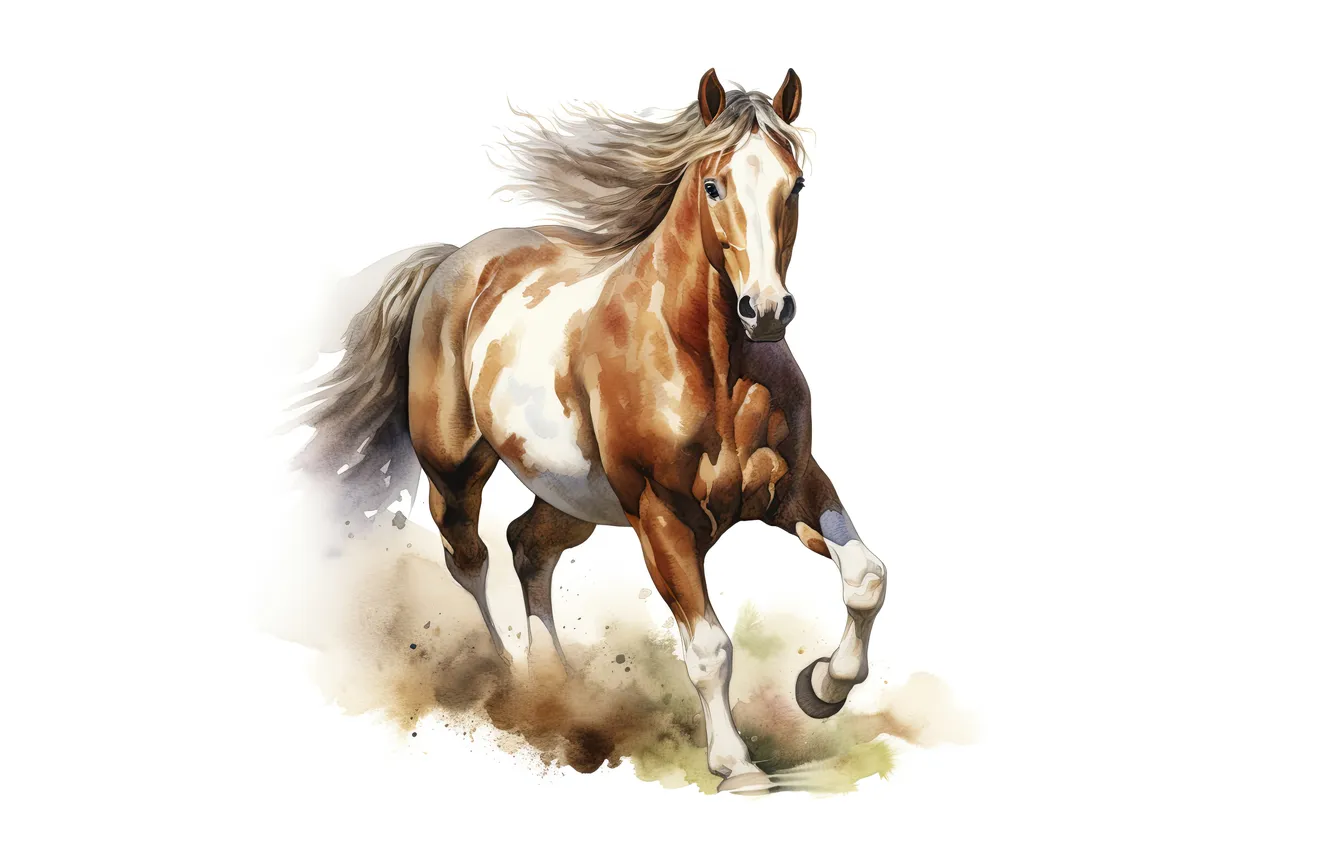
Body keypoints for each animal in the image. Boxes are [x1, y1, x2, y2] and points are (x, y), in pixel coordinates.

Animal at [293, 69, 887, 791]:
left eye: (794, 184)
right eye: (714, 185)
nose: (766, 310)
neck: (711, 363)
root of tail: (455, 261)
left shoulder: (794, 488)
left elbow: (866, 578)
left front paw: (821, 687)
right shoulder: (661, 517)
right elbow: (710, 647)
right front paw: (736, 766)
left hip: (571, 499)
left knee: (527, 547)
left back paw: (560, 686)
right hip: (455, 470)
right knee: (470, 557)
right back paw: (511, 685)